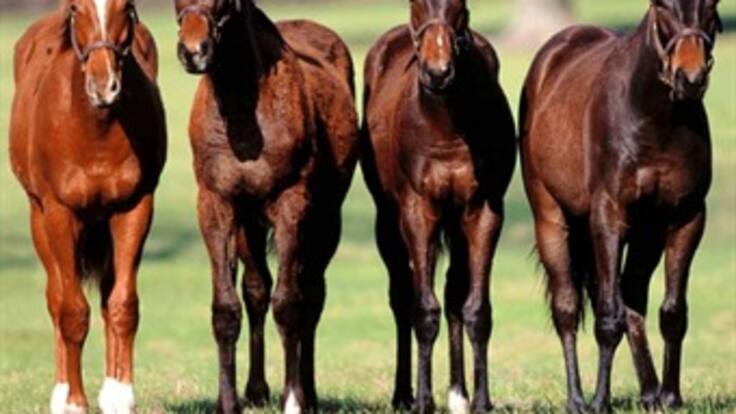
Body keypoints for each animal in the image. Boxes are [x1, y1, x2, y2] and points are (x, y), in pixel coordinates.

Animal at [9, 0, 166, 413]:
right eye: (77, 9)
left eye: (127, 7)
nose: (103, 85)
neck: (95, 128)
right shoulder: (60, 213)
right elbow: (71, 311)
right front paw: (75, 402)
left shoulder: (134, 208)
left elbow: (123, 304)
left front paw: (120, 395)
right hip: (39, 220)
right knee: (56, 297)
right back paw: (62, 391)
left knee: (109, 296)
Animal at [173, 0, 359, 412]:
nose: (193, 51)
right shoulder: (217, 206)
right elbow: (227, 308)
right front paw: (229, 402)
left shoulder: (292, 207)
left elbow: (289, 304)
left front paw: (293, 399)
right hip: (251, 226)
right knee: (257, 291)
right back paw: (257, 390)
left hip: (326, 222)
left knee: (312, 296)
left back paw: (308, 392)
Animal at [361, 0, 516, 412]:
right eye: (416, 6)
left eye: (460, 8)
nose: (437, 72)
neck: (447, 122)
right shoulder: (419, 211)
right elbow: (422, 310)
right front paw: (422, 400)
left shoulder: (483, 211)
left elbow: (475, 309)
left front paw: (480, 400)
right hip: (388, 222)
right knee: (402, 297)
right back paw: (403, 393)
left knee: (453, 294)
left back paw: (458, 393)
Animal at [519, 0, 722, 412]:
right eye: (663, 7)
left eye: (711, 5)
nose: (690, 78)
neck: (657, 118)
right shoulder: (609, 218)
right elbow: (606, 316)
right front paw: (600, 401)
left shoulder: (686, 217)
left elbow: (672, 311)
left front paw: (671, 397)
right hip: (552, 220)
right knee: (568, 308)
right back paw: (577, 399)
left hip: (646, 234)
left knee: (632, 298)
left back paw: (649, 392)